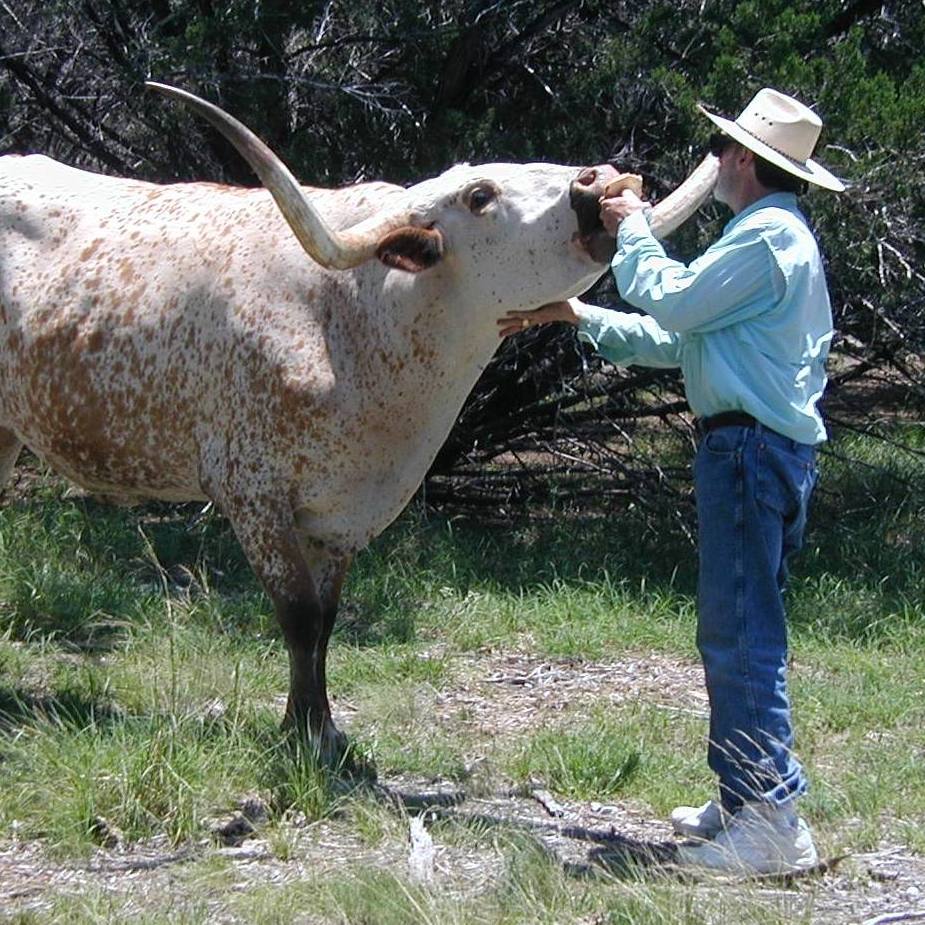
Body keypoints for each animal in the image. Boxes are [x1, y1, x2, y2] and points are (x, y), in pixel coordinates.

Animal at [0, 85, 720, 764]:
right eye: (480, 195)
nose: (601, 178)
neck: (354, 316)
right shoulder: (251, 491)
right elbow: (297, 615)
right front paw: (302, 739)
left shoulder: (342, 514)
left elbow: (326, 621)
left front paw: (319, 727)